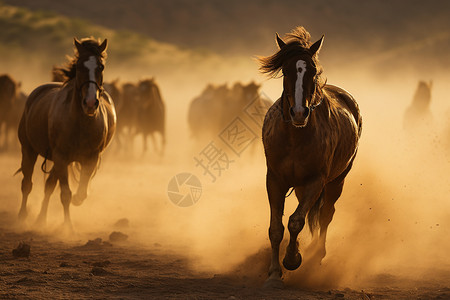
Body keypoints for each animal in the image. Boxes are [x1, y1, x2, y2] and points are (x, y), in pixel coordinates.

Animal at [17, 38, 116, 230]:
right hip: (29, 150)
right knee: (27, 184)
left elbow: (80, 192)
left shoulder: (90, 158)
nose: (90, 103)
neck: (81, 123)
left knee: (49, 186)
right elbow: (65, 194)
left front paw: (77, 201)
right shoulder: (61, 157)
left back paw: (41, 219)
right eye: (79, 66)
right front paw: (68, 228)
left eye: (101, 67)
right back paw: (23, 216)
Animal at [258, 27, 360, 288]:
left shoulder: (316, 181)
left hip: (337, 181)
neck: (295, 137)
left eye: (312, 71)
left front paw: (293, 259)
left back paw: (316, 255)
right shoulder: (274, 181)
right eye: (286, 70)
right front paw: (274, 273)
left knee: (325, 215)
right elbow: (275, 228)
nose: (299, 113)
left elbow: (296, 221)